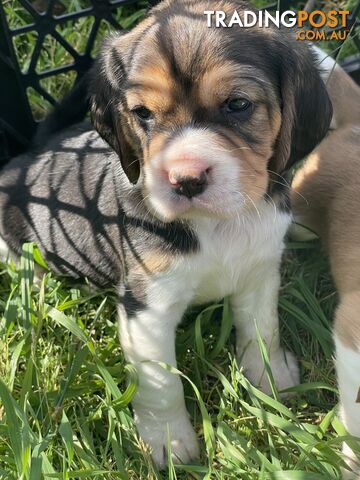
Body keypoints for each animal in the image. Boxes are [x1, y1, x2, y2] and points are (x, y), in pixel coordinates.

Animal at [0, 0, 332, 464]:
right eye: (142, 114)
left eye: (237, 104)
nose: (185, 180)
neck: (217, 223)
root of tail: (27, 155)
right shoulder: (147, 308)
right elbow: (162, 385)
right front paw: (171, 443)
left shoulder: (261, 272)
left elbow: (262, 329)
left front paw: (272, 381)